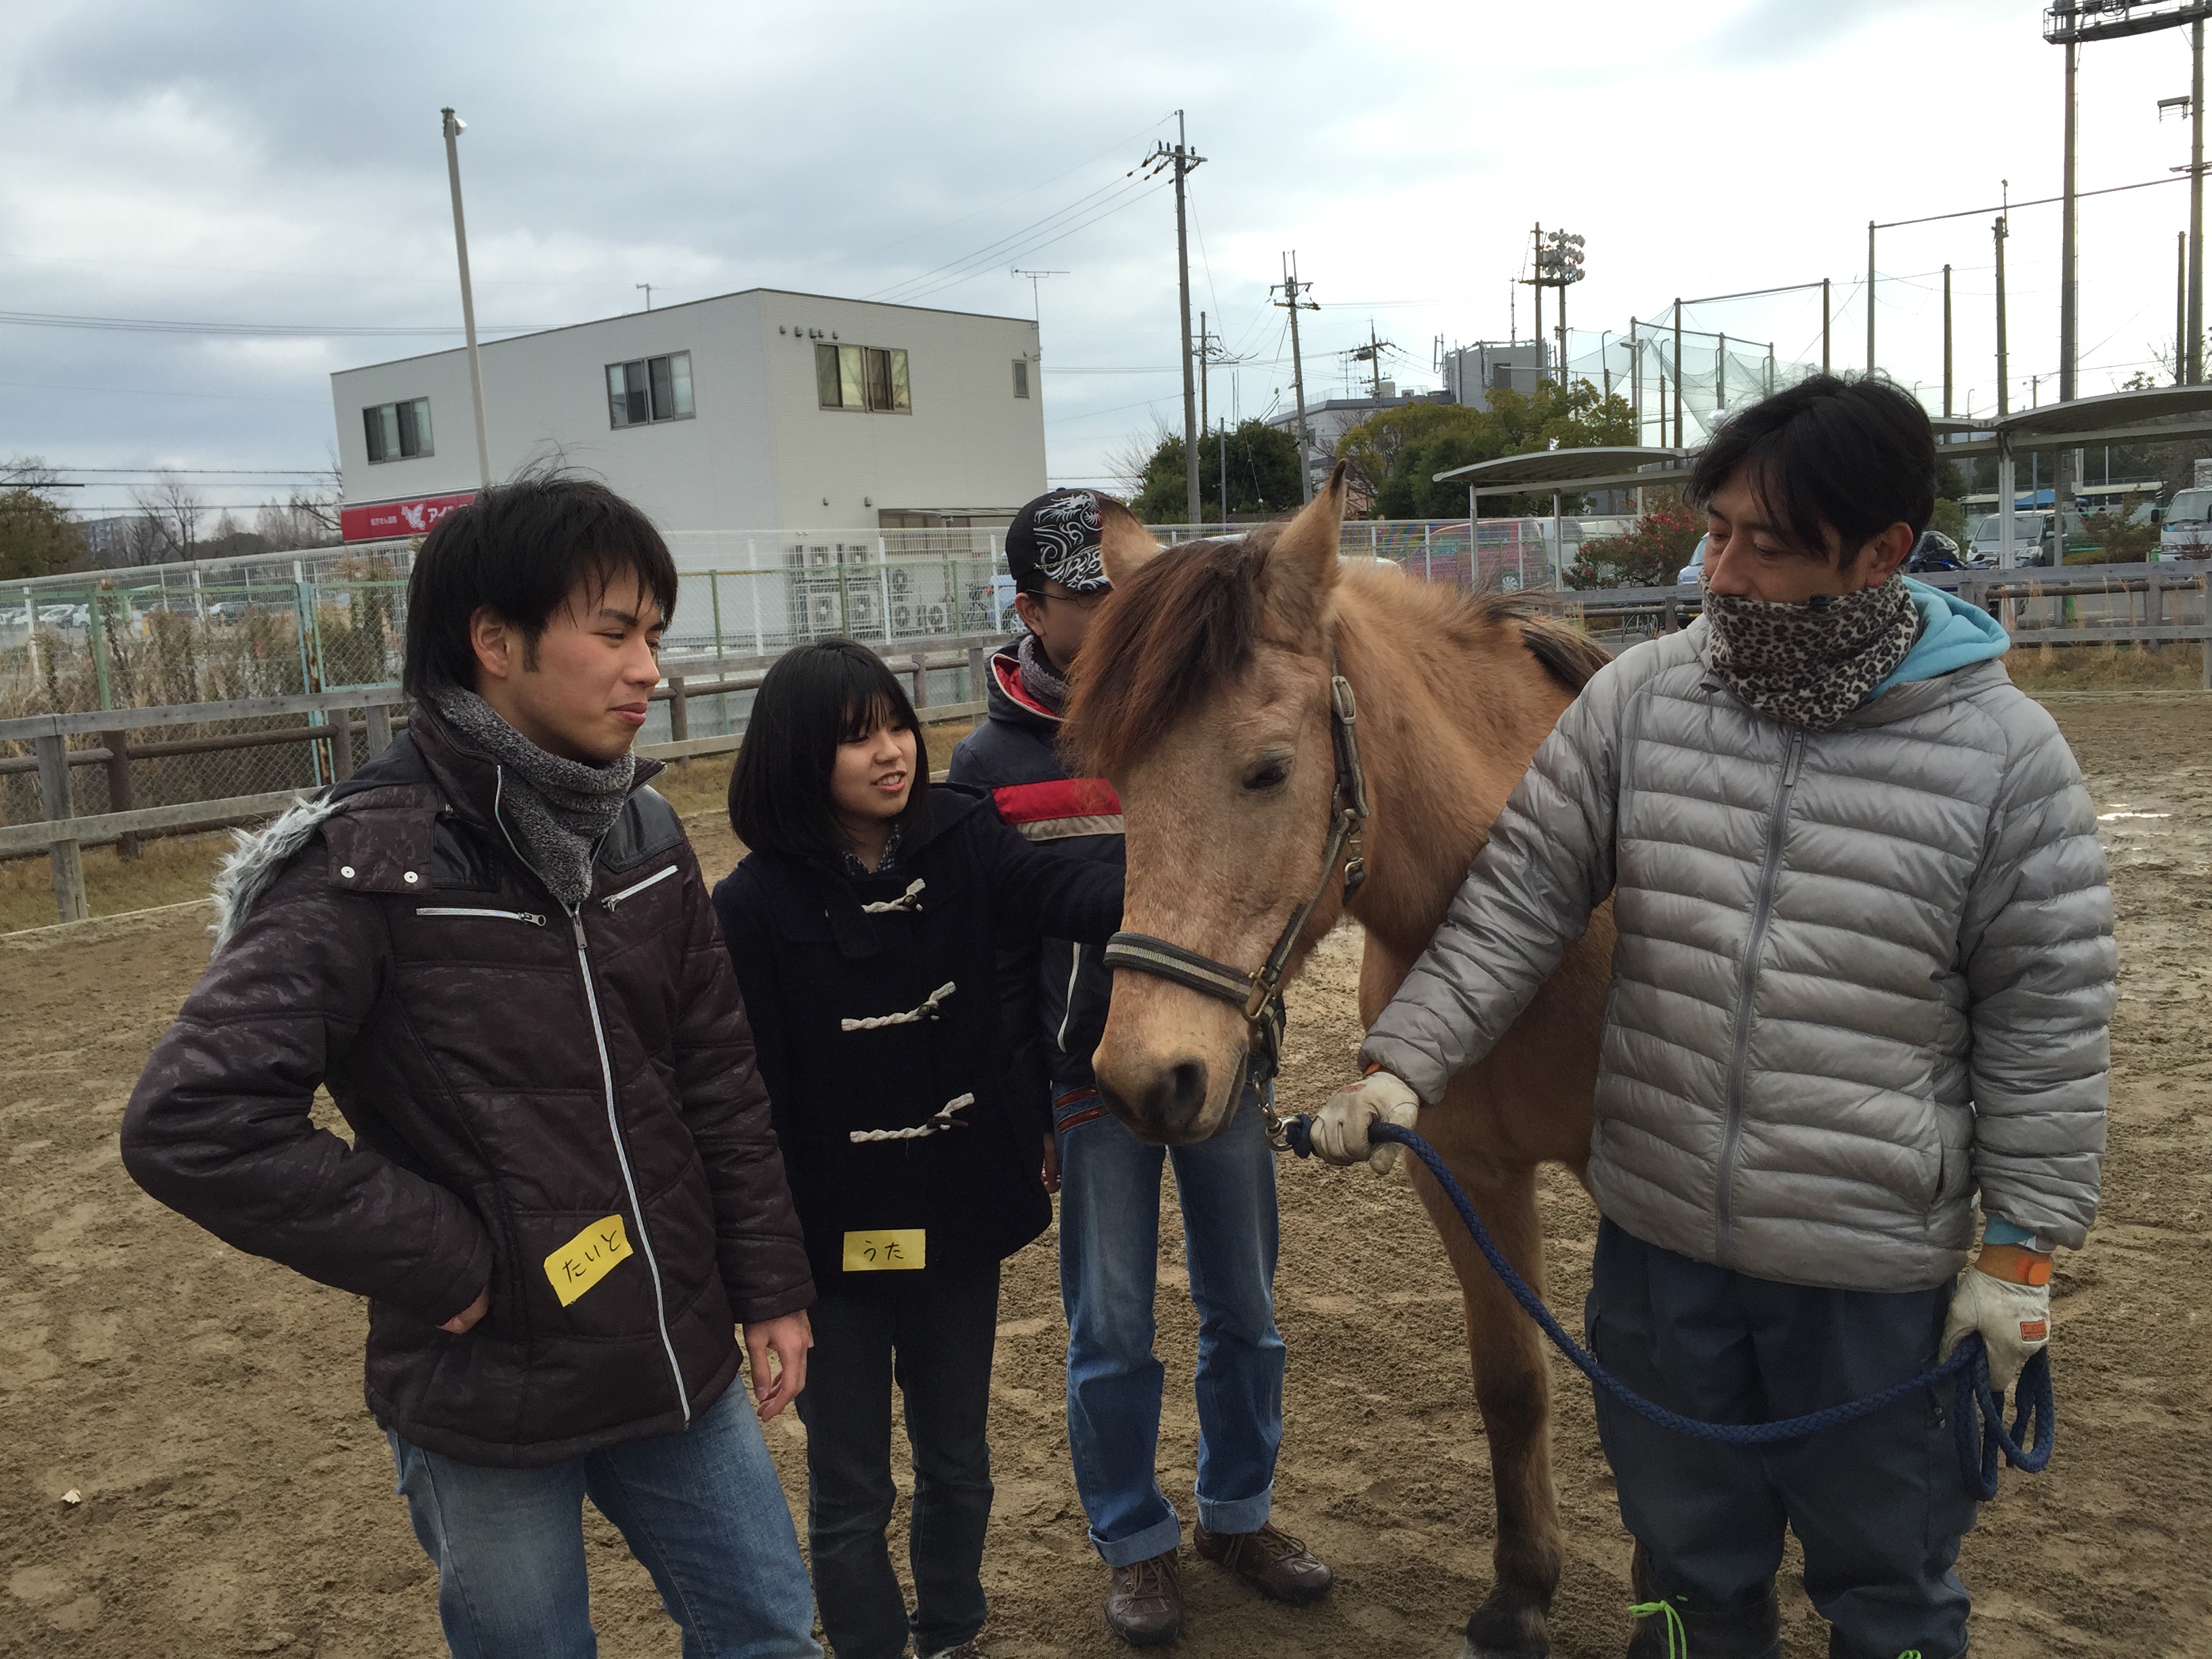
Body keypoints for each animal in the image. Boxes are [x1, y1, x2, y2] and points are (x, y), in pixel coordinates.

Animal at [1061, 468, 1619, 1659]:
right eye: (1117, 778)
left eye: (1269, 771)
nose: (1143, 1077)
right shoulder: (1458, 1170)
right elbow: (1513, 1383)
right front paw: (1519, 1597)